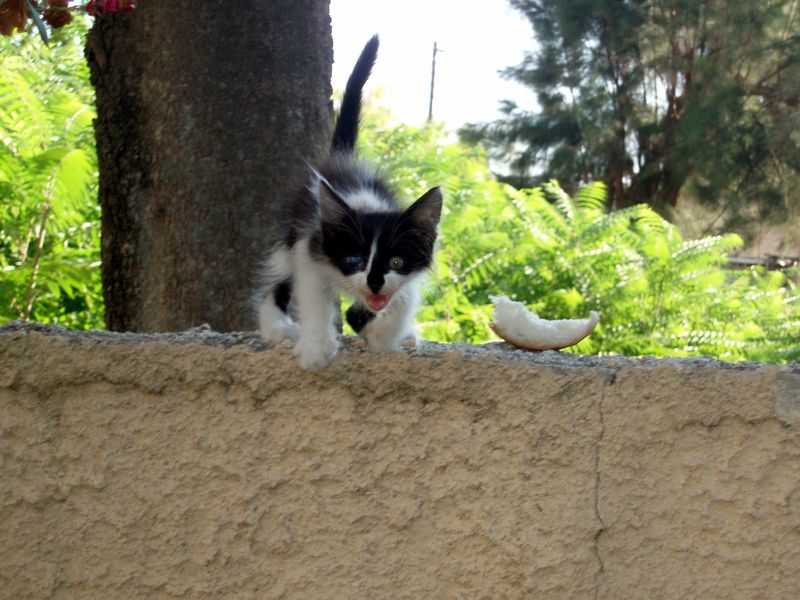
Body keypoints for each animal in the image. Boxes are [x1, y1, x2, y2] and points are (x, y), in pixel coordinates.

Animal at [254, 35, 443, 370]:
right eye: (355, 259)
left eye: (396, 261)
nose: (375, 283)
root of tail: (340, 158)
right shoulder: (311, 247)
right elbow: (314, 296)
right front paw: (315, 347)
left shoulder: (404, 279)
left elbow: (404, 299)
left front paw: (382, 334)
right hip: (292, 233)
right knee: (280, 279)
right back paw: (276, 326)